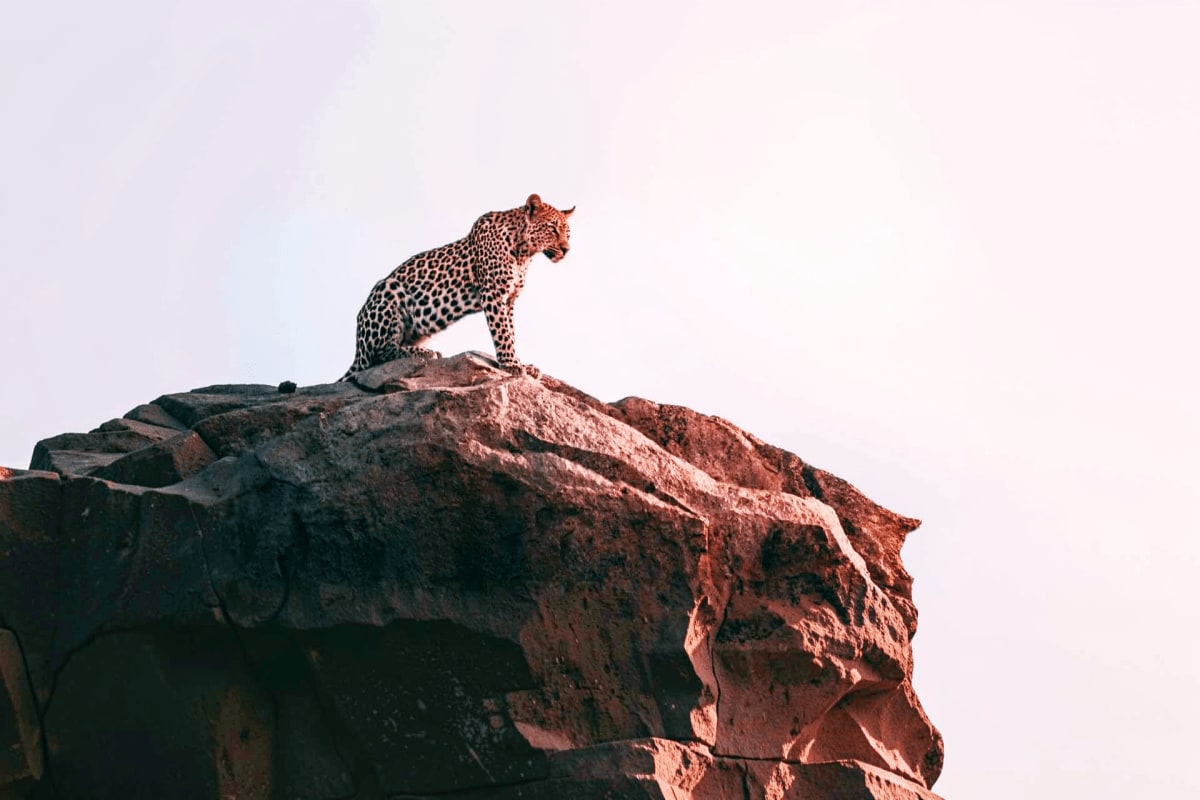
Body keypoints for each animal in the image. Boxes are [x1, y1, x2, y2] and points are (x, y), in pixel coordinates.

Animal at [339, 193, 574, 381]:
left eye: (568, 233)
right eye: (552, 228)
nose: (566, 249)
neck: (524, 253)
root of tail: (357, 350)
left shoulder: (509, 299)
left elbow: (511, 332)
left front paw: (520, 363)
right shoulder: (493, 294)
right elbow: (503, 333)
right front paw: (511, 365)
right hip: (389, 289)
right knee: (380, 354)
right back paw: (422, 353)